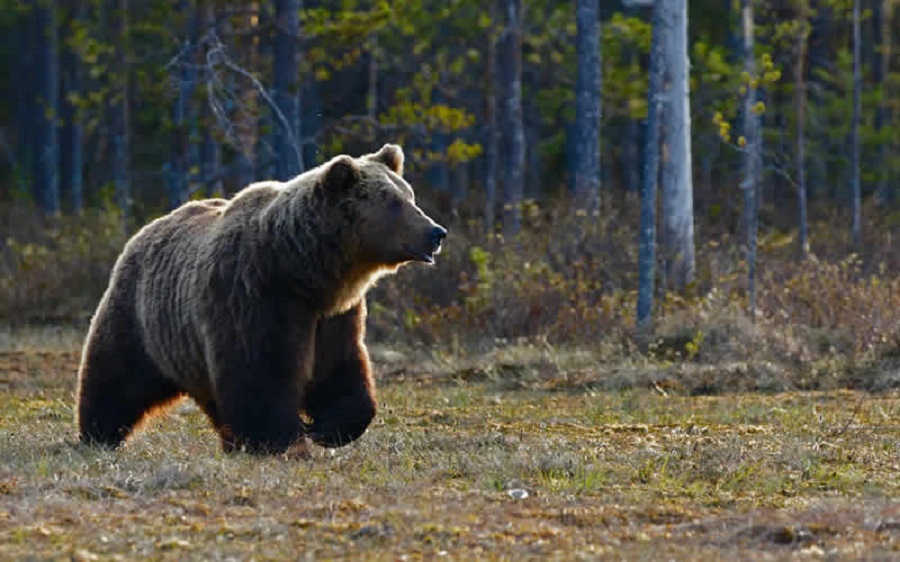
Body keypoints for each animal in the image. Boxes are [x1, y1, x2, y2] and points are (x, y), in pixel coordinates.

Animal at [74, 142, 446, 452]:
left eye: (410, 196)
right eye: (394, 203)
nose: (436, 232)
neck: (303, 270)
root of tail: (147, 228)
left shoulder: (333, 315)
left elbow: (340, 370)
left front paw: (326, 428)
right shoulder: (254, 295)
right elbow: (260, 372)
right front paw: (281, 437)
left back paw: (230, 441)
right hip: (141, 317)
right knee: (116, 376)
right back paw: (98, 434)